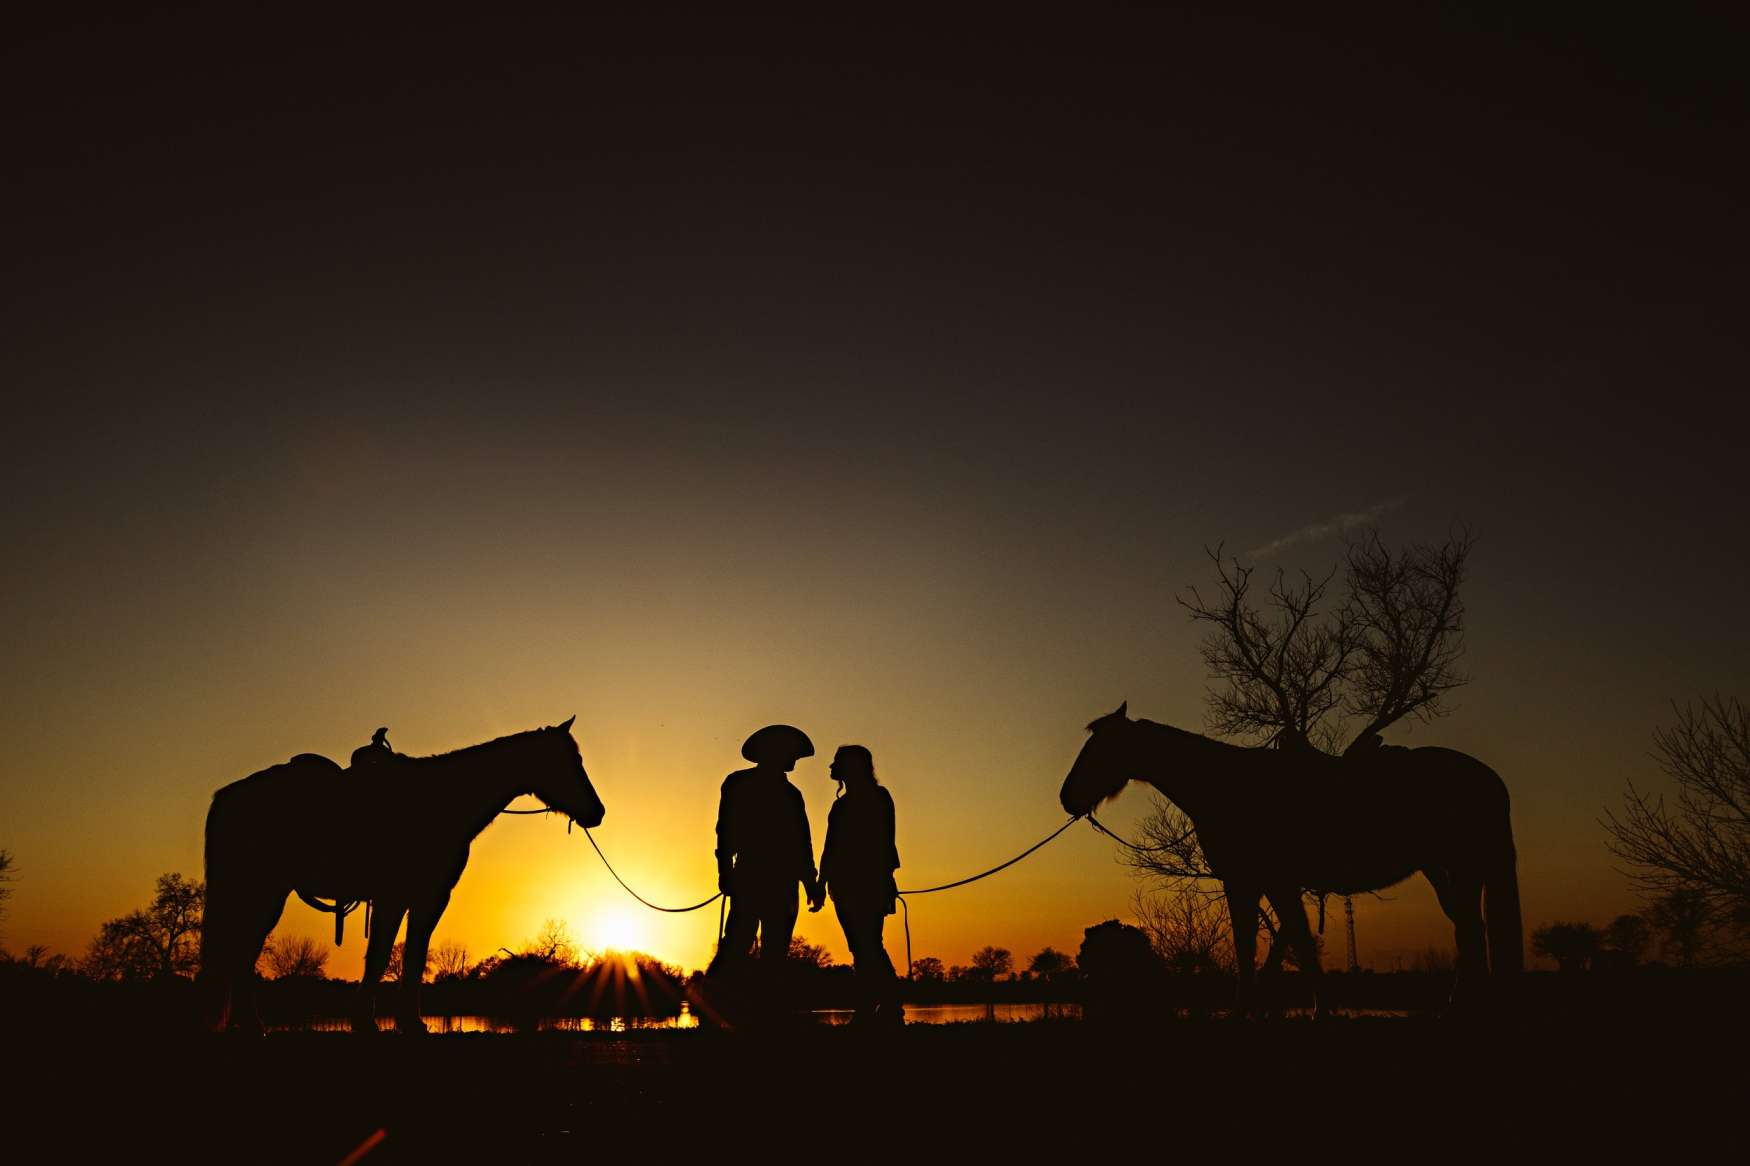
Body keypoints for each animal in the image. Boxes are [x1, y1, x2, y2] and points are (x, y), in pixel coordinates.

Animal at [198, 714, 605, 1029]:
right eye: (570, 760)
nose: (597, 812)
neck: (443, 800)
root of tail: (226, 796)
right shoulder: (400, 897)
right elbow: (383, 954)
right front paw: (371, 1020)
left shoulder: (424, 898)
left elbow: (411, 955)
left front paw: (405, 1021)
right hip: (262, 892)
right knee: (240, 952)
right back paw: (252, 1024)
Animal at [1064, 700, 1519, 1008]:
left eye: (1099, 748)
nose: (1066, 797)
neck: (1226, 786)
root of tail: (1488, 778)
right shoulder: (1250, 882)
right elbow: (1261, 943)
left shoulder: (1266, 880)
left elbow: (1287, 940)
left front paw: (1315, 1011)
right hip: (1445, 870)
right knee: (1470, 929)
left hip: (1461, 866)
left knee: (1470, 931)